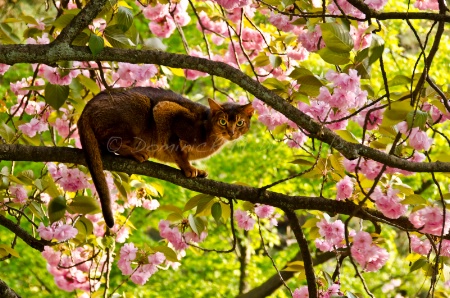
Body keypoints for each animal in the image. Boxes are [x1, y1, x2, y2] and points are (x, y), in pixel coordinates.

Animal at [77, 87, 253, 227]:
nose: (231, 133)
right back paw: (135, 153)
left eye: (240, 123)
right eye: (223, 122)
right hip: (141, 104)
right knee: (110, 141)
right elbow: (177, 150)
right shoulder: (165, 109)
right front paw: (189, 168)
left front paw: (197, 170)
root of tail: (85, 109)